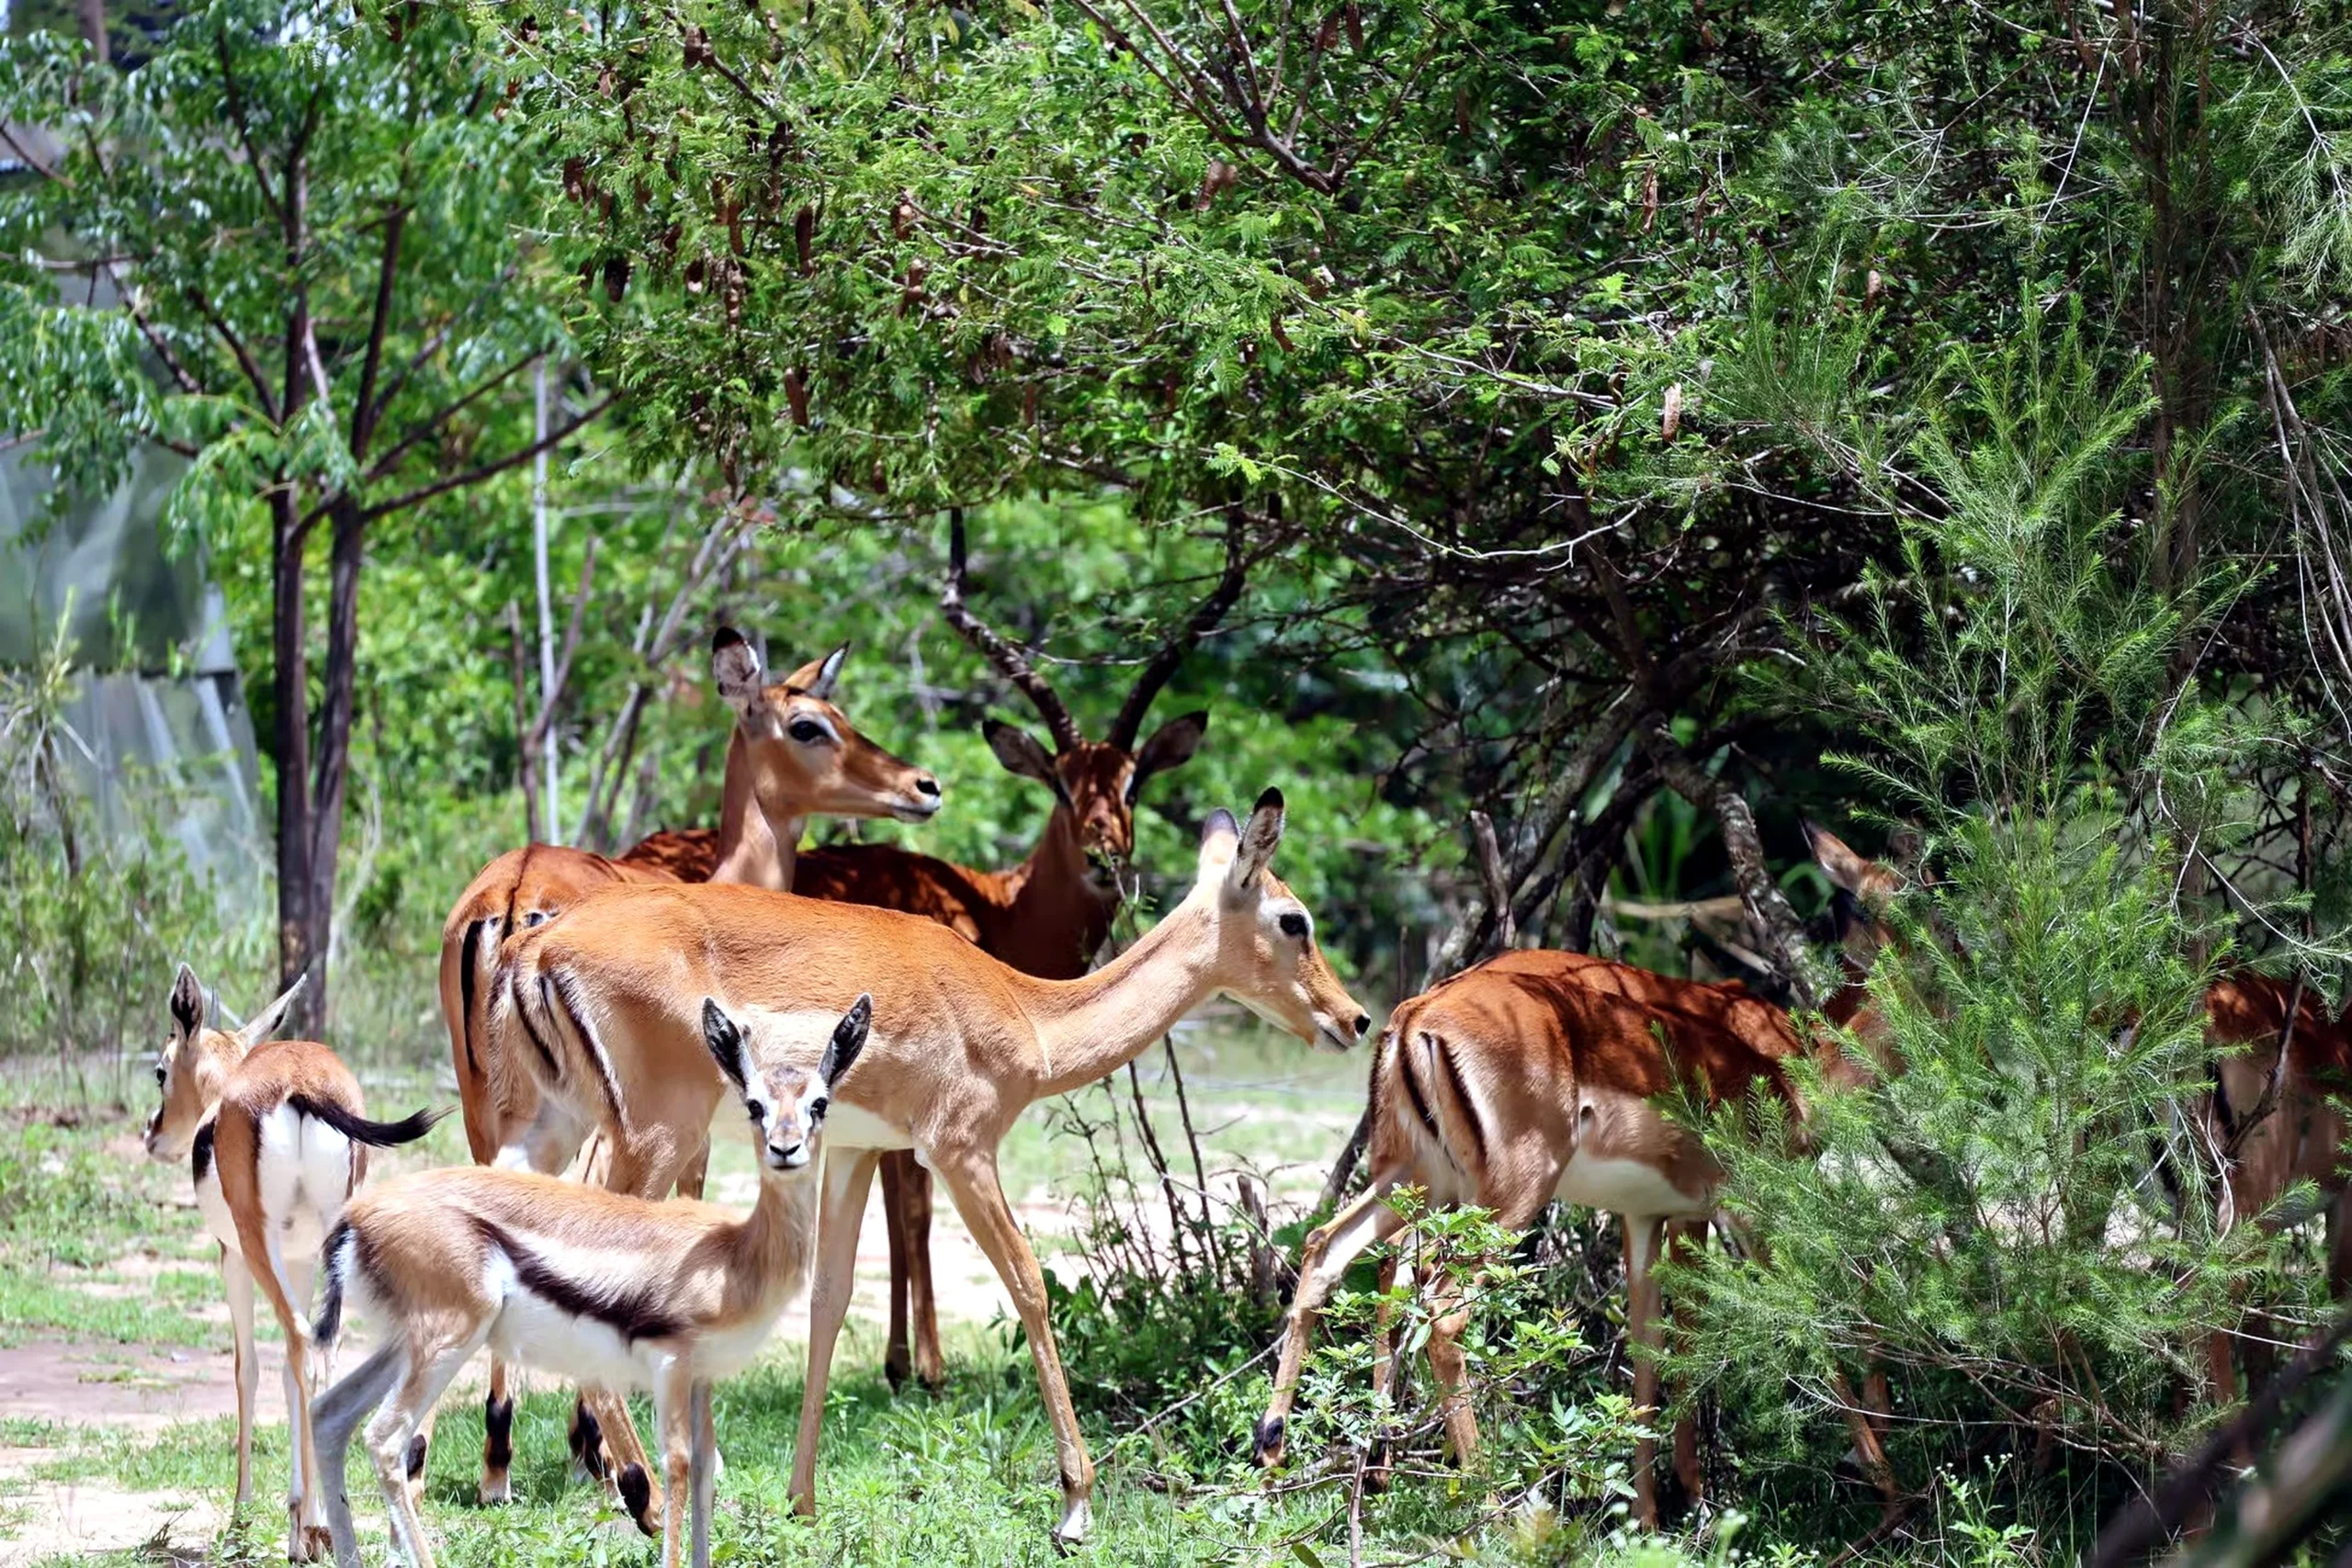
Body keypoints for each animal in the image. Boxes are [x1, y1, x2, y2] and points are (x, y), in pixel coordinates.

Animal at [142, 964, 444, 1561]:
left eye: (161, 1070)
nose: (152, 1134)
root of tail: (301, 1085)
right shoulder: (303, 1259)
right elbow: (289, 1370)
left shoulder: (234, 1257)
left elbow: (249, 1369)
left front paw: (241, 1523)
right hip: (333, 1245)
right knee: (320, 1353)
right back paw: (321, 1525)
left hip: (260, 1248)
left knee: (301, 1345)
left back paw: (306, 1530)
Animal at [309, 994, 871, 1568]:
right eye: (754, 1105)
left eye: (819, 1104)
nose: (786, 1148)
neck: (734, 1252)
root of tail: (356, 1218)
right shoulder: (671, 1366)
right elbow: (678, 1465)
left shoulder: (702, 1376)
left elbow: (707, 1469)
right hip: (446, 1340)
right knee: (384, 1439)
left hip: (406, 1343)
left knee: (330, 1415)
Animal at [490, 788, 1370, 1546]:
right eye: (1293, 918)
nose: (1354, 1018)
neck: (1025, 1013)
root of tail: (535, 943)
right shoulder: (961, 1149)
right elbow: (1029, 1281)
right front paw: (1076, 1503)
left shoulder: (851, 1148)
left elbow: (830, 1298)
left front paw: (803, 1501)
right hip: (654, 1133)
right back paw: (637, 1488)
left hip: (554, 1128)